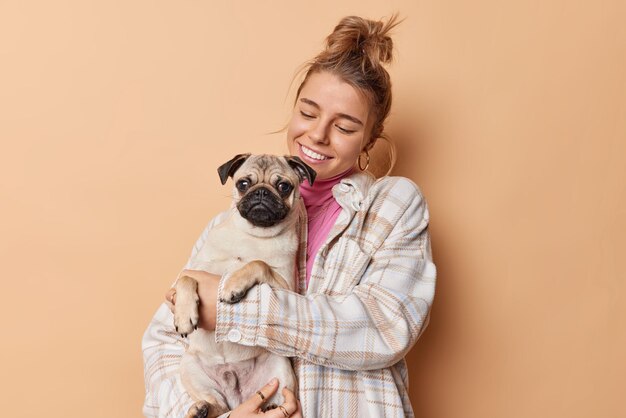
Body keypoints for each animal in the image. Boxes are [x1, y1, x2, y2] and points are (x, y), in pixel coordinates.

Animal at [172, 153, 314, 418]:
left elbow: (258, 263)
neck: (252, 235)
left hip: (280, 366)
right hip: (189, 365)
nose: (261, 192)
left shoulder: (287, 287)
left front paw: (233, 286)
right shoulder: (195, 270)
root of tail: (237, 397)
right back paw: (200, 409)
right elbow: (187, 279)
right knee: (217, 405)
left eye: (284, 186)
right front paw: (184, 315)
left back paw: (271, 406)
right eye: (243, 184)